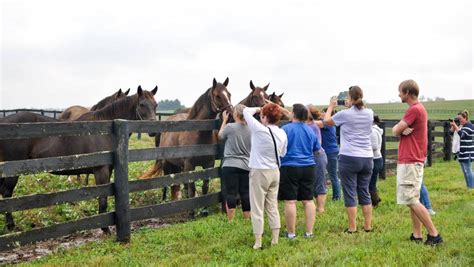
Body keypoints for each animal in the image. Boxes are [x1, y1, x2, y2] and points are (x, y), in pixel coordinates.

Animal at [0, 86, 159, 232]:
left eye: (156, 105)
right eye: (142, 104)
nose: (153, 131)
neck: (105, 129)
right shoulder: (101, 171)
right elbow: (102, 197)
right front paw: (105, 228)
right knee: (7, 195)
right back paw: (11, 225)